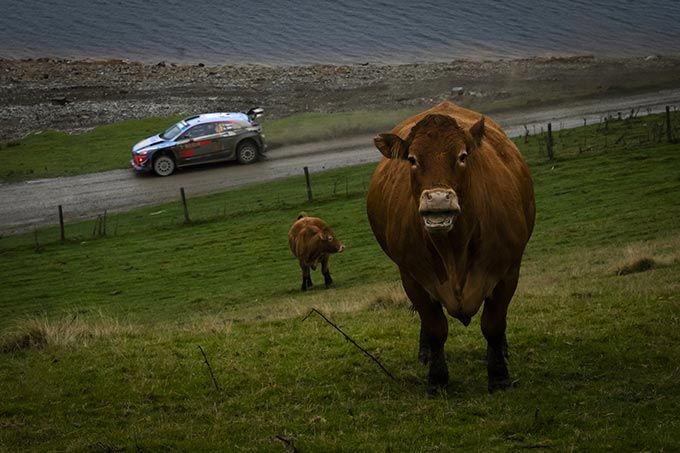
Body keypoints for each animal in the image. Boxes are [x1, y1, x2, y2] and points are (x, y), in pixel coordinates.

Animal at [366, 100, 536, 392]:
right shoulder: (413, 278)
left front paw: (499, 376)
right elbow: (436, 328)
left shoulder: (507, 271)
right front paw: (437, 378)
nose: (437, 200)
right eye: (412, 159)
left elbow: (493, 324)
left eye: (462, 156)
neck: (453, 250)